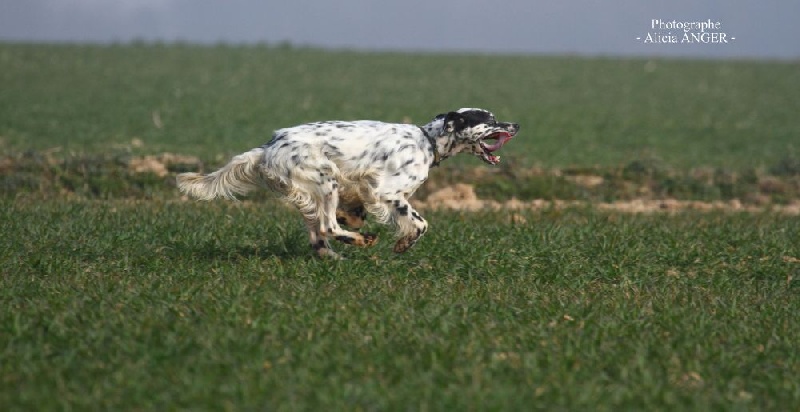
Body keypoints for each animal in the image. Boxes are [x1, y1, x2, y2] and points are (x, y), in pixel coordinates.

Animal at [177, 108, 520, 258]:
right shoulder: (387, 191)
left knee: (318, 236)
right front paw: (403, 243)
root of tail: (268, 146)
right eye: (489, 120)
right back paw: (360, 240)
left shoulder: (362, 189)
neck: (427, 141)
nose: (516, 124)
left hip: (313, 190)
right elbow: (420, 224)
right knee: (327, 226)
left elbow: (356, 210)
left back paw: (336, 253)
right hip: (325, 179)